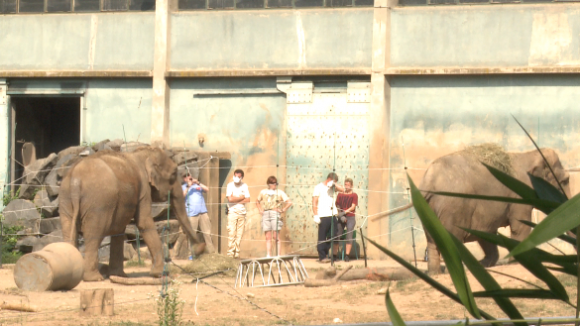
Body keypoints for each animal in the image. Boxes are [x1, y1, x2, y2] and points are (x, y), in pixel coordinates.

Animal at [60, 146, 205, 282]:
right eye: (174, 174)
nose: (199, 249)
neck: (143, 154)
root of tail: (75, 180)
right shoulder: (143, 190)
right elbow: (144, 222)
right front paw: (158, 274)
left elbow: (118, 230)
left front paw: (119, 275)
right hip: (98, 203)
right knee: (95, 233)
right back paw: (95, 278)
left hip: (66, 201)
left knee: (69, 231)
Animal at [416, 146, 572, 274]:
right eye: (565, 181)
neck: (528, 154)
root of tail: (429, 180)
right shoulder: (518, 195)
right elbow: (519, 227)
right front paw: (518, 262)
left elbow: (486, 232)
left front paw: (485, 264)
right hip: (453, 208)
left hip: (427, 209)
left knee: (432, 240)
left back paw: (435, 274)